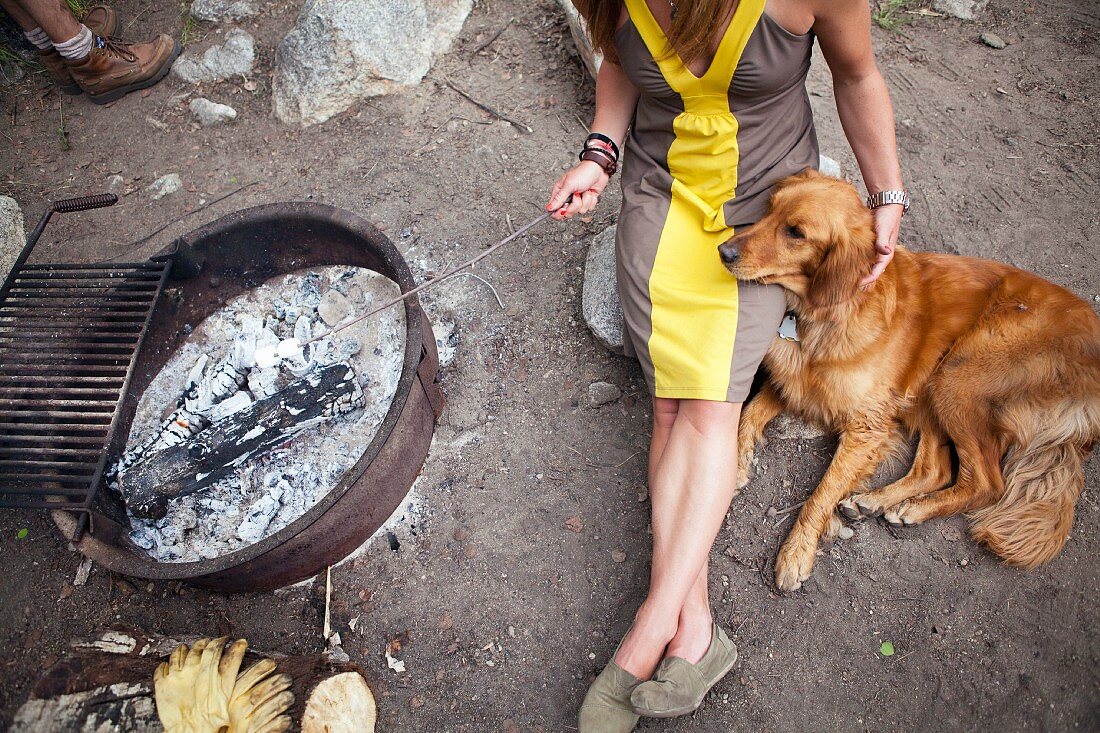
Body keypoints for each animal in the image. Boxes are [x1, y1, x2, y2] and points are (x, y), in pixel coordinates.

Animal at [721, 169, 1100, 589]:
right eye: (768, 209)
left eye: (795, 233)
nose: (723, 251)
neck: (830, 312)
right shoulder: (795, 386)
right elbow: (746, 417)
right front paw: (736, 465)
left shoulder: (866, 425)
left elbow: (822, 492)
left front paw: (796, 552)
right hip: (929, 386)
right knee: (937, 468)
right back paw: (876, 501)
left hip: (956, 374)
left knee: (988, 483)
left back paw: (914, 509)